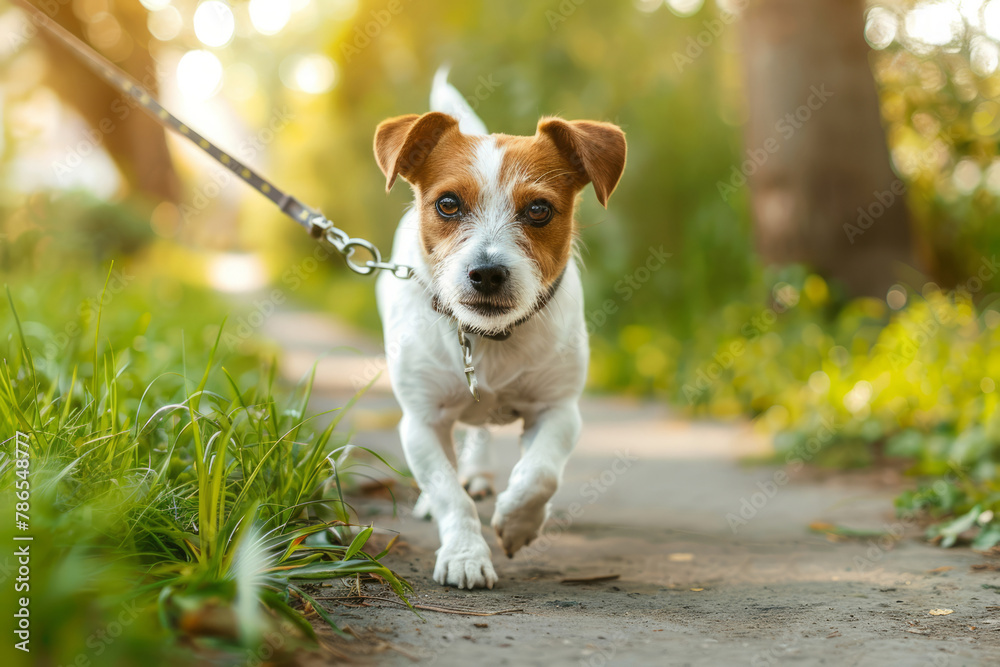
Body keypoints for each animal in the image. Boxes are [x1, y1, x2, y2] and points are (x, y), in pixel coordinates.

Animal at [376, 69, 624, 588]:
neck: (488, 338)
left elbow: (540, 474)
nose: (487, 273)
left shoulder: (558, 410)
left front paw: (518, 521)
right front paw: (466, 554)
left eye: (539, 210)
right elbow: (449, 494)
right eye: (448, 204)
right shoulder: (421, 421)